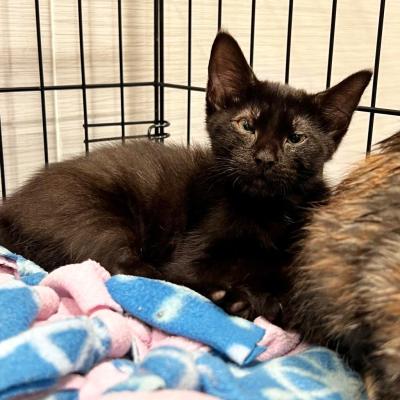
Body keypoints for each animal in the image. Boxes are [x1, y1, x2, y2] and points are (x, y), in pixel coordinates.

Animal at [0, 31, 370, 320]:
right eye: (246, 125)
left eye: (295, 138)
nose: (264, 158)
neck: (266, 210)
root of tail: (10, 207)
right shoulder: (191, 254)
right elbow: (191, 271)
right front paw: (259, 296)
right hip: (92, 215)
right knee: (131, 273)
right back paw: (235, 299)